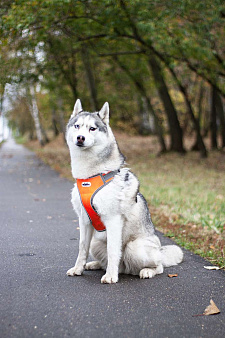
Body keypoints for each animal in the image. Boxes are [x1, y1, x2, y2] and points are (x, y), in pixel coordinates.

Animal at [66, 99, 183, 284]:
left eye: (92, 128)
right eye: (77, 126)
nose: (80, 137)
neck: (90, 176)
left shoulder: (113, 220)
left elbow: (113, 251)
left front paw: (110, 277)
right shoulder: (84, 221)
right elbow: (82, 248)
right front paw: (78, 269)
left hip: (135, 248)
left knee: (159, 266)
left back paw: (145, 271)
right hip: (96, 243)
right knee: (106, 259)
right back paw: (95, 264)